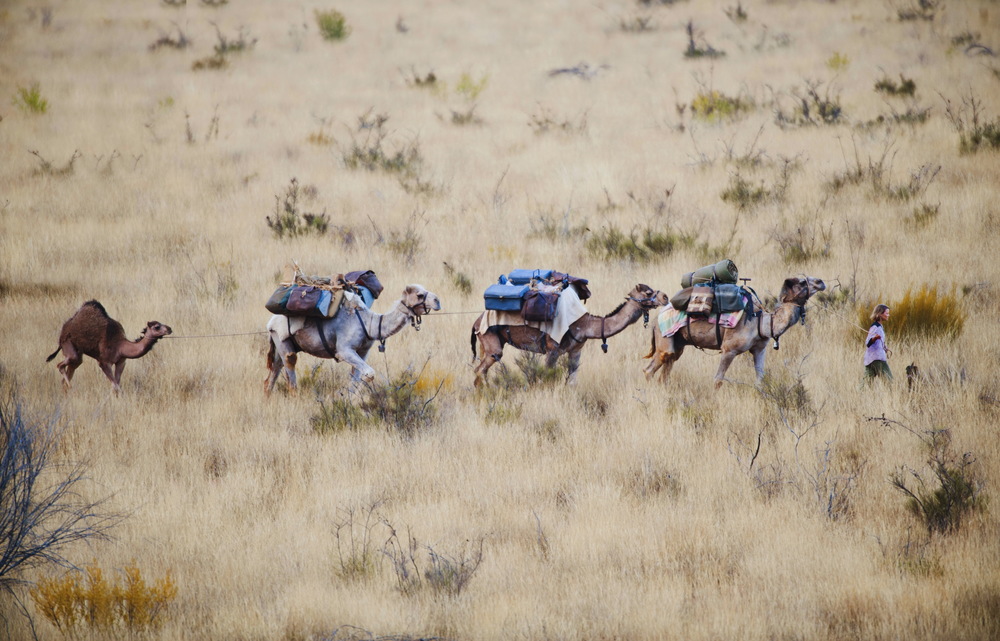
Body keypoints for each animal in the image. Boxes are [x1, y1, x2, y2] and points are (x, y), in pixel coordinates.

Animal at [46, 298, 174, 392]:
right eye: (157, 326)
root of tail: (64, 328)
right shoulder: (104, 362)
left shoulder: (121, 361)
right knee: (61, 365)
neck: (121, 345)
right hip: (68, 344)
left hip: (77, 352)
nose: (169, 329)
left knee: (72, 367)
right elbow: (115, 386)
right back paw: (70, 387)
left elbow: (117, 385)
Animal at [472, 284, 668, 384]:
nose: (665, 297)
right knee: (481, 368)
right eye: (648, 292)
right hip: (491, 339)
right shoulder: (552, 349)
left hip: (486, 342)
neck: (584, 324)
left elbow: (572, 380)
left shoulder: (576, 350)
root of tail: (476, 321)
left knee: (480, 370)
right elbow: (546, 378)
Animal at [644, 274, 824, 388]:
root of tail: (654, 320)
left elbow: (760, 379)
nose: (821, 282)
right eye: (802, 282)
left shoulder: (759, 349)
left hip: (679, 343)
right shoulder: (729, 350)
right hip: (664, 336)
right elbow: (718, 380)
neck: (762, 323)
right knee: (651, 368)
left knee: (667, 369)